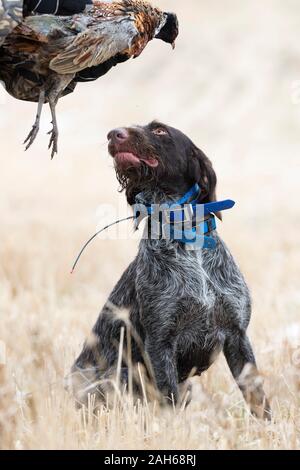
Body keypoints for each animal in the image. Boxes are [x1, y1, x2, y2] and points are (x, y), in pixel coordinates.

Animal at [70, 121, 272, 418]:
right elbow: (169, 401)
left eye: (159, 130)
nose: (113, 134)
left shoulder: (237, 335)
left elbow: (258, 398)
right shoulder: (160, 342)